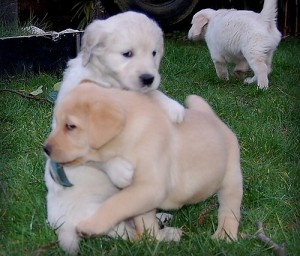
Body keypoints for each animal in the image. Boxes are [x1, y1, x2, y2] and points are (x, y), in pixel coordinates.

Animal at [43, 81, 243, 241]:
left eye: (71, 126)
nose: (46, 149)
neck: (130, 135)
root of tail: (214, 118)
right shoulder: (141, 194)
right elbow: (144, 223)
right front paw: (155, 238)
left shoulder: (150, 186)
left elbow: (116, 203)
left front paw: (91, 226)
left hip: (231, 177)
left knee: (229, 210)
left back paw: (224, 236)